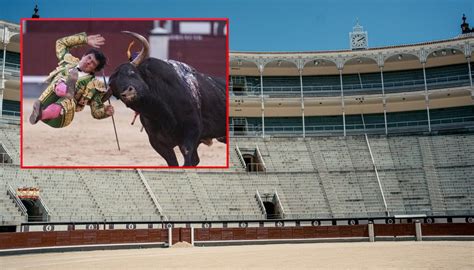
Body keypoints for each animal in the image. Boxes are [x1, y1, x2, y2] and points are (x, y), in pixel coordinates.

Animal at [107, 31, 226, 167]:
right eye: (114, 87)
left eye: (132, 72)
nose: (127, 92)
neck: (161, 111)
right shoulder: (157, 142)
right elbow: (174, 162)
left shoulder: (192, 131)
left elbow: (187, 155)